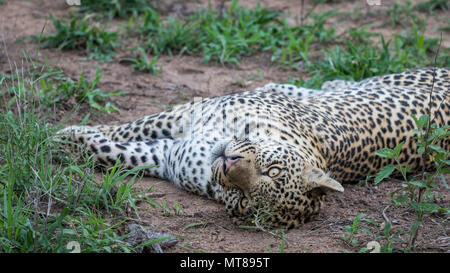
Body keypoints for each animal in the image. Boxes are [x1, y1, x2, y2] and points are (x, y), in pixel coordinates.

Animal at [58, 67, 450, 227]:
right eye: (272, 169)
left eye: (245, 201)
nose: (228, 164)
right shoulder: (186, 113)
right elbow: (132, 125)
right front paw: (63, 134)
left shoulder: (167, 155)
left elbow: (116, 153)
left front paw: (69, 141)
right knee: (325, 87)